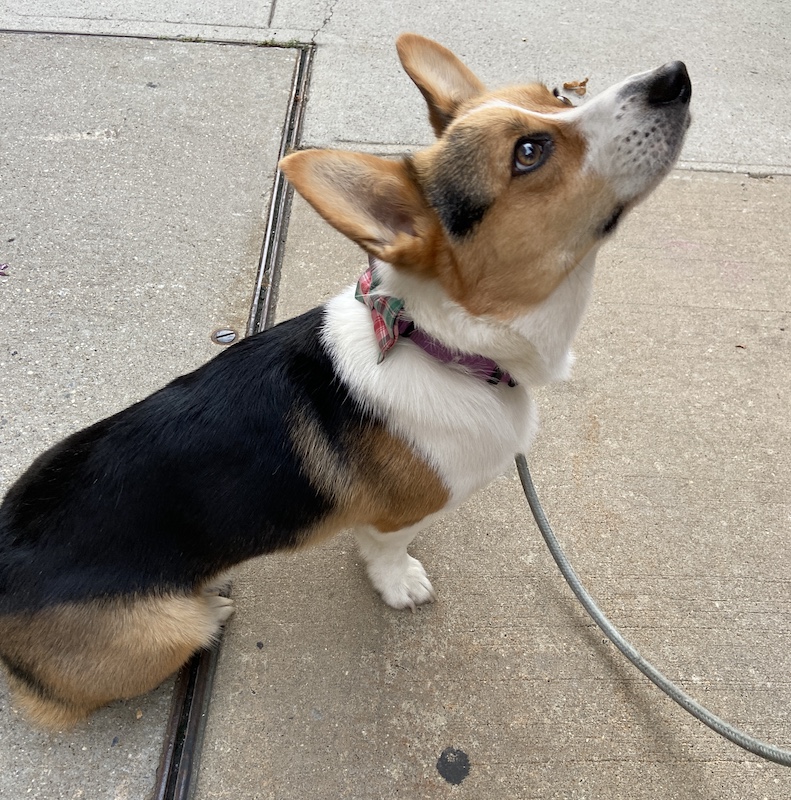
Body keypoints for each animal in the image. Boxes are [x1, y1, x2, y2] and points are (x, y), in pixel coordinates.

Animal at [0, 34, 688, 728]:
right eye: (529, 153)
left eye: (554, 95)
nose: (675, 77)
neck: (441, 344)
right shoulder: (399, 515)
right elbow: (386, 551)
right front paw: (402, 583)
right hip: (173, 625)